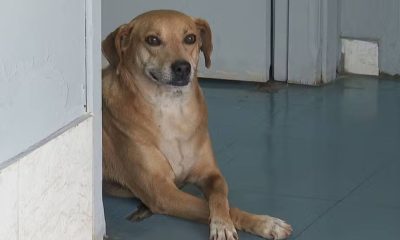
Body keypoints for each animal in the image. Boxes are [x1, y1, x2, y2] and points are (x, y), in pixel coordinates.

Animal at [101, 9, 292, 240]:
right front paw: (237, 225)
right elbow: (221, 208)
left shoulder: (211, 173)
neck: (172, 108)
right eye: (152, 40)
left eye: (190, 38)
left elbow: (220, 198)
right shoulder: (161, 191)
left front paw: (251, 222)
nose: (183, 67)